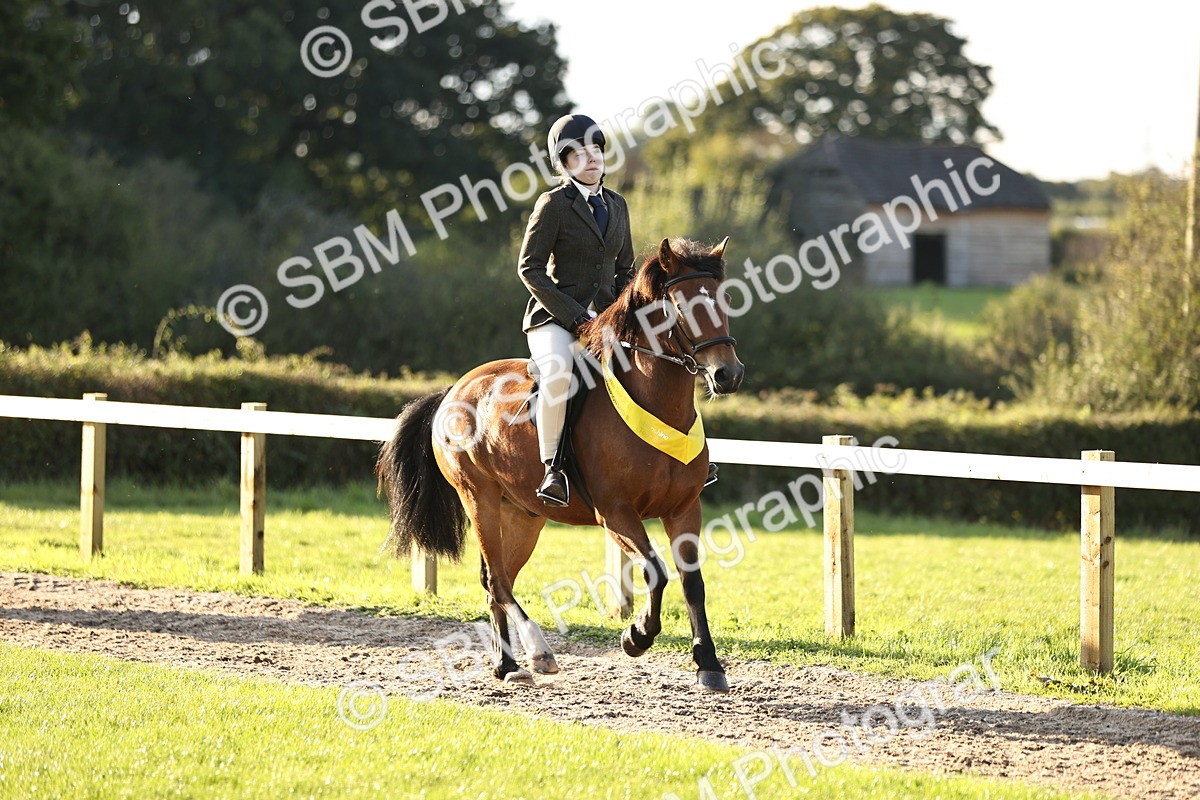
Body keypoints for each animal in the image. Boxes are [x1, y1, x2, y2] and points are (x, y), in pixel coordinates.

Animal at [376, 236, 745, 691]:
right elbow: (656, 571)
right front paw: (636, 637)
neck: (658, 404)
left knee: (497, 579)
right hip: (478, 497)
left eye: (724, 300)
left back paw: (506, 663)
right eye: (681, 304)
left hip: (523, 514)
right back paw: (536, 654)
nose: (728, 374)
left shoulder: (683, 508)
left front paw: (709, 664)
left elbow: (693, 582)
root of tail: (454, 389)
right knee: (498, 581)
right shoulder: (616, 513)